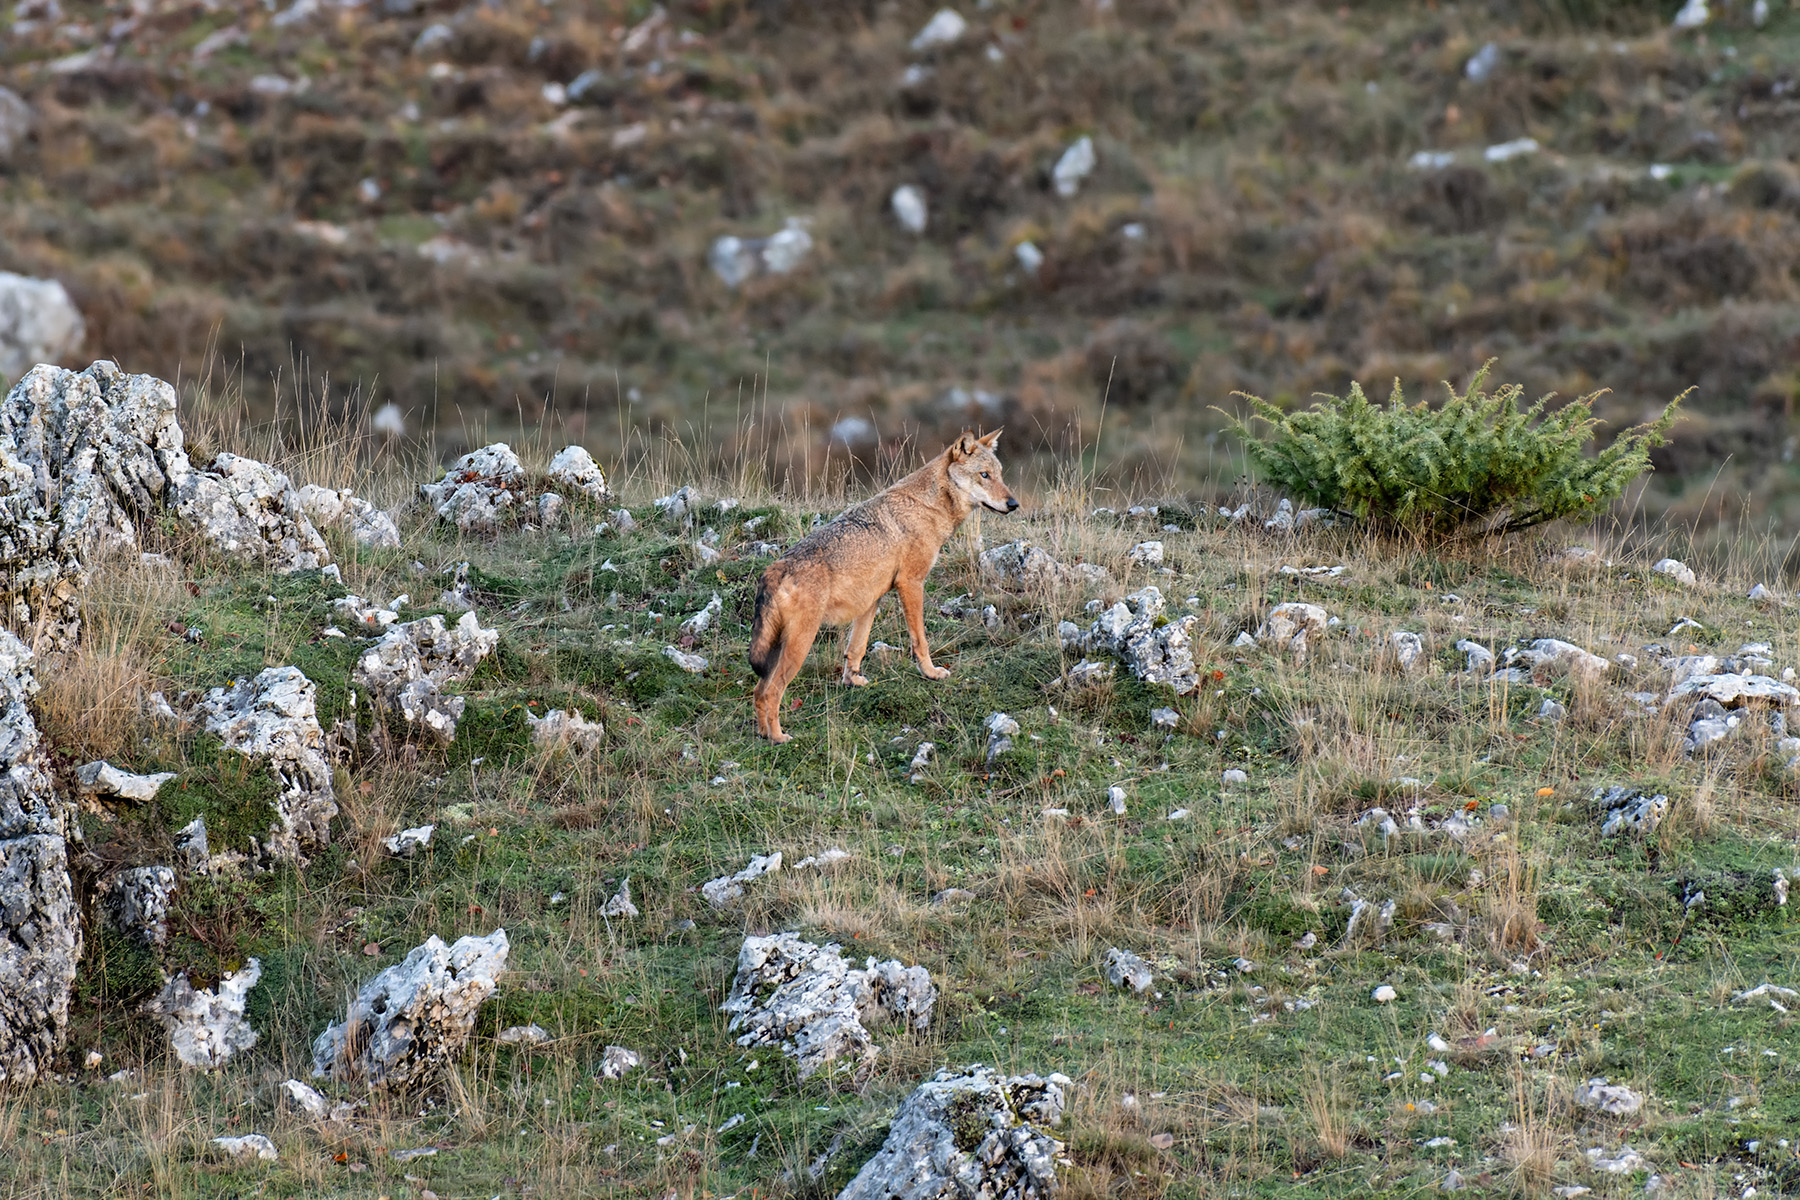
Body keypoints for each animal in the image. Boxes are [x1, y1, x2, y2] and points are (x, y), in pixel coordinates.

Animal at [748, 429, 1018, 742]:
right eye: (984, 475)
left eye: (1000, 474)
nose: (1014, 504)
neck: (929, 505)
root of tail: (774, 569)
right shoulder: (911, 583)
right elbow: (920, 640)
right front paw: (931, 673)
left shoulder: (871, 600)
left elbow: (857, 648)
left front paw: (853, 681)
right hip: (799, 646)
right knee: (771, 691)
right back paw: (779, 738)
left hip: (779, 649)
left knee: (758, 691)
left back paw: (763, 734)